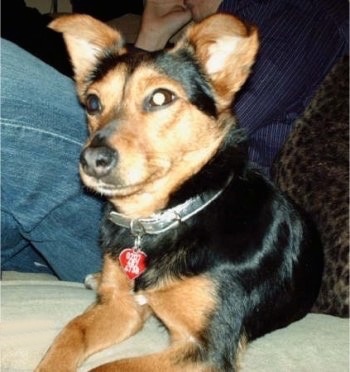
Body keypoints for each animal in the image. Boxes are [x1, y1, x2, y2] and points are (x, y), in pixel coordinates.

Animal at [35, 13, 322, 370]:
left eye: (161, 97)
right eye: (92, 102)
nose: (91, 159)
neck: (162, 216)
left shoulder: (207, 350)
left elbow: (111, 365)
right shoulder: (122, 307)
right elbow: (72, 331)